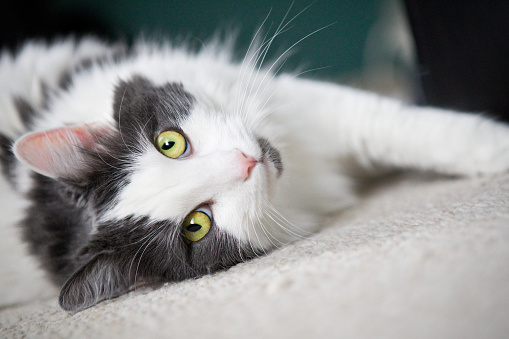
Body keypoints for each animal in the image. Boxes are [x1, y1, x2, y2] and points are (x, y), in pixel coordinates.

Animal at [0, 31, 508, 314]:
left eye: (169, 143)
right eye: (196, 225)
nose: (245, 162)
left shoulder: (298, 104)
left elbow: (395, 125)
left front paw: (492, 146)